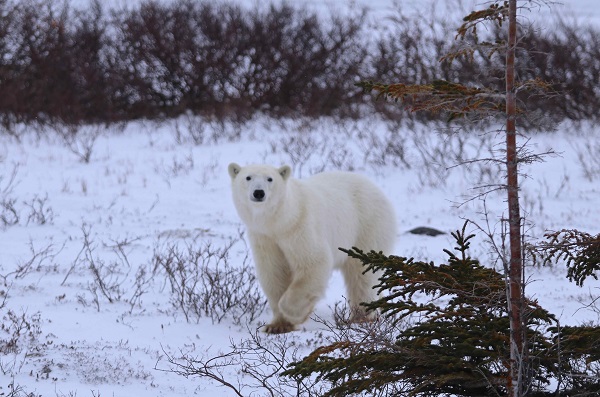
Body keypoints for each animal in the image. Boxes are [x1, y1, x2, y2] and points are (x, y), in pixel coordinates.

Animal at [227, 162, 396, 332]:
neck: (281, 222)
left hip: (366, 226)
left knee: (361, 274)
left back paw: (359, 318)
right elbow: (274, 272)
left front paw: (293, 313)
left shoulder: (300, 228)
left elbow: (314, 262)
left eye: (270, 179)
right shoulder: (265, 238)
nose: (259, 192)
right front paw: (277, 326)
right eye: (248, 177)